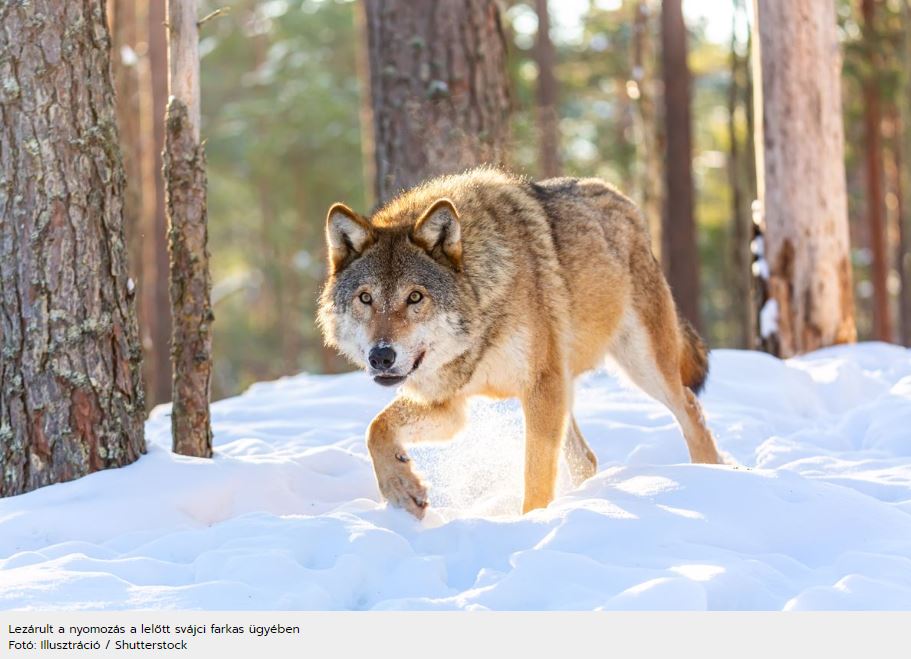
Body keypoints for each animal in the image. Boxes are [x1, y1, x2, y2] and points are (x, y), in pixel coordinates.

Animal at [318, 168, 724, 520]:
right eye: (366, 298)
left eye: (415, 297)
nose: (381, 356)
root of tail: (624, 199)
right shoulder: (448, 405)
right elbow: (375, 429)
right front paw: (402, 489)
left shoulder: (539, 387)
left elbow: (536, 476)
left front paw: (530, 524)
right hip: (570, 387)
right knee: (586, 458)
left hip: (640, 365)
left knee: (690, 409)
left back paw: (713, 479)